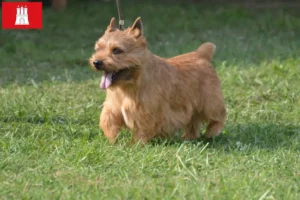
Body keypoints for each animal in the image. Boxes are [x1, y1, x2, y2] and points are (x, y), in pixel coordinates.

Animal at [88, 17, 225, 144]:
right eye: (98, 49)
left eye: (117, 50)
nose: (97, 62)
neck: (127, 85)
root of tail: (201, 54)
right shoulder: (112, 110)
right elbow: (108, 123)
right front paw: (113, 142)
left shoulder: (142, 112)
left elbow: (140, 131)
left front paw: (134, 146)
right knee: (193, 122)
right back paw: (188, 138)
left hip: (210, 102)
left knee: (219, 116)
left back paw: (211, 132)